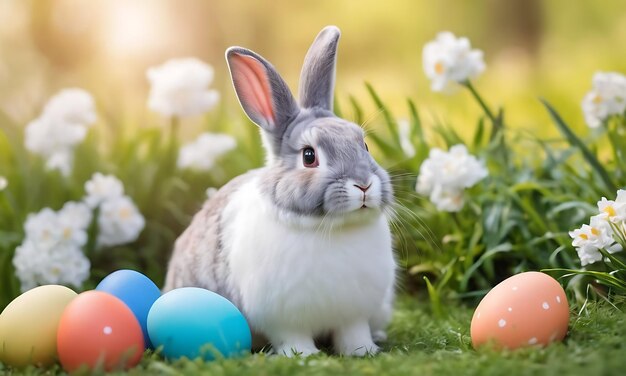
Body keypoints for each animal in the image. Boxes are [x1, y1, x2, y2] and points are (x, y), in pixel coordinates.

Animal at [162, 25, 394, 356]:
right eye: (309, 156)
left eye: (364, 145)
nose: (363, 184)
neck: (331, 227)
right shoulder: (283, 320)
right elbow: (293, 338)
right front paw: (305, 356)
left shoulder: (354, 315)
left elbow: (353, 333)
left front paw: (364, 352)